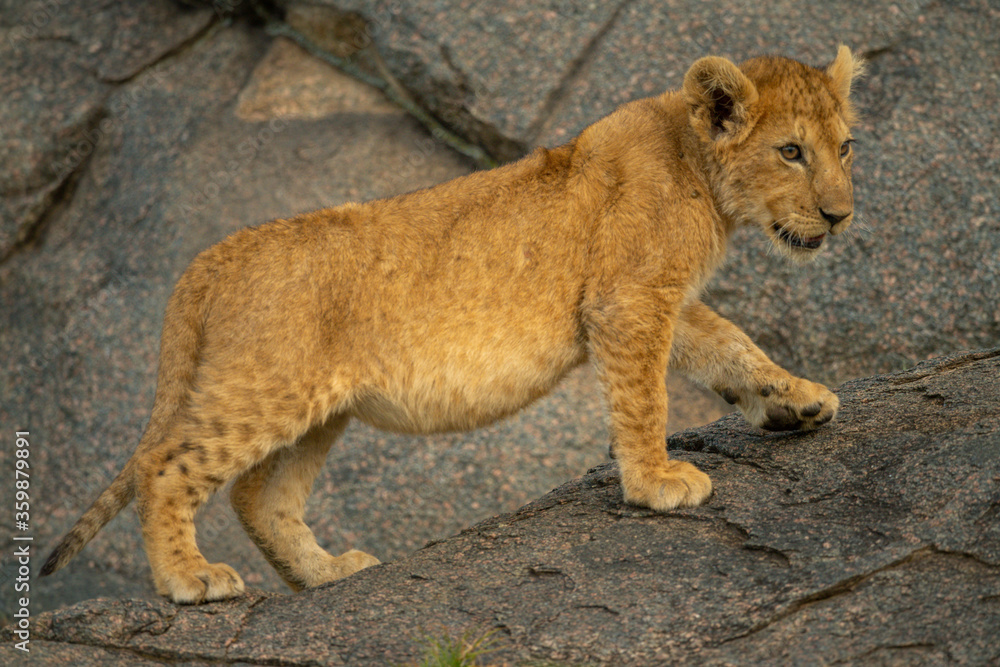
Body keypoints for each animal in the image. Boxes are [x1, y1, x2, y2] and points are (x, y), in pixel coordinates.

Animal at [42, 46, 864, 603]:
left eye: (845, 147)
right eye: (791, 151)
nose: (840, 215)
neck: (696, 162)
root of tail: (211, 257)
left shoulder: (660, 298)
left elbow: (732, 344)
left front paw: (798, 401)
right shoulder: (627, 300)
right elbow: (644, 397)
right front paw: (656, 482)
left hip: (318, 408)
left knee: (258, 497)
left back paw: (326, 573)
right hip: (265, 389)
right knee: (164, 466)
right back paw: (190, 579)